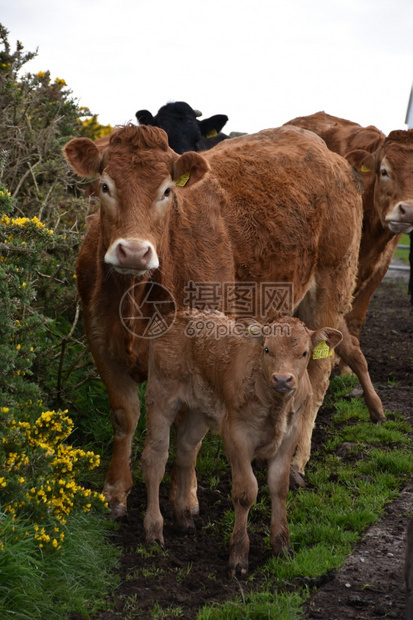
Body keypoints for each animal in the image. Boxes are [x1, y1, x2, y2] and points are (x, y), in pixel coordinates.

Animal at [62, 123, 382, 516]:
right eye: (105, 186)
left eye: (166, 191)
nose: (134, 252)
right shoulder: (100, 339)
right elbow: (125, 415)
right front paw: (115, 491)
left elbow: (189, 429)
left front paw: (184, 496)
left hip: (331, 288)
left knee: (320, 375)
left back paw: (295, 463)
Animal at [142, 314, 342, 576]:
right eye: (267, 349)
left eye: (304, 353)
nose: (282, 379)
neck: (275, 406)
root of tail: (181, 315)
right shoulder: (236, 436)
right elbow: (246, 492)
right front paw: (238, 556)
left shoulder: (290, 435)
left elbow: (279, 486)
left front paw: (282, 546)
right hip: (160, 396)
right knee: (155, 458)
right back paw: (154, 529)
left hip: (201, 408)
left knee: (186, 450)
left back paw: (184, 518)